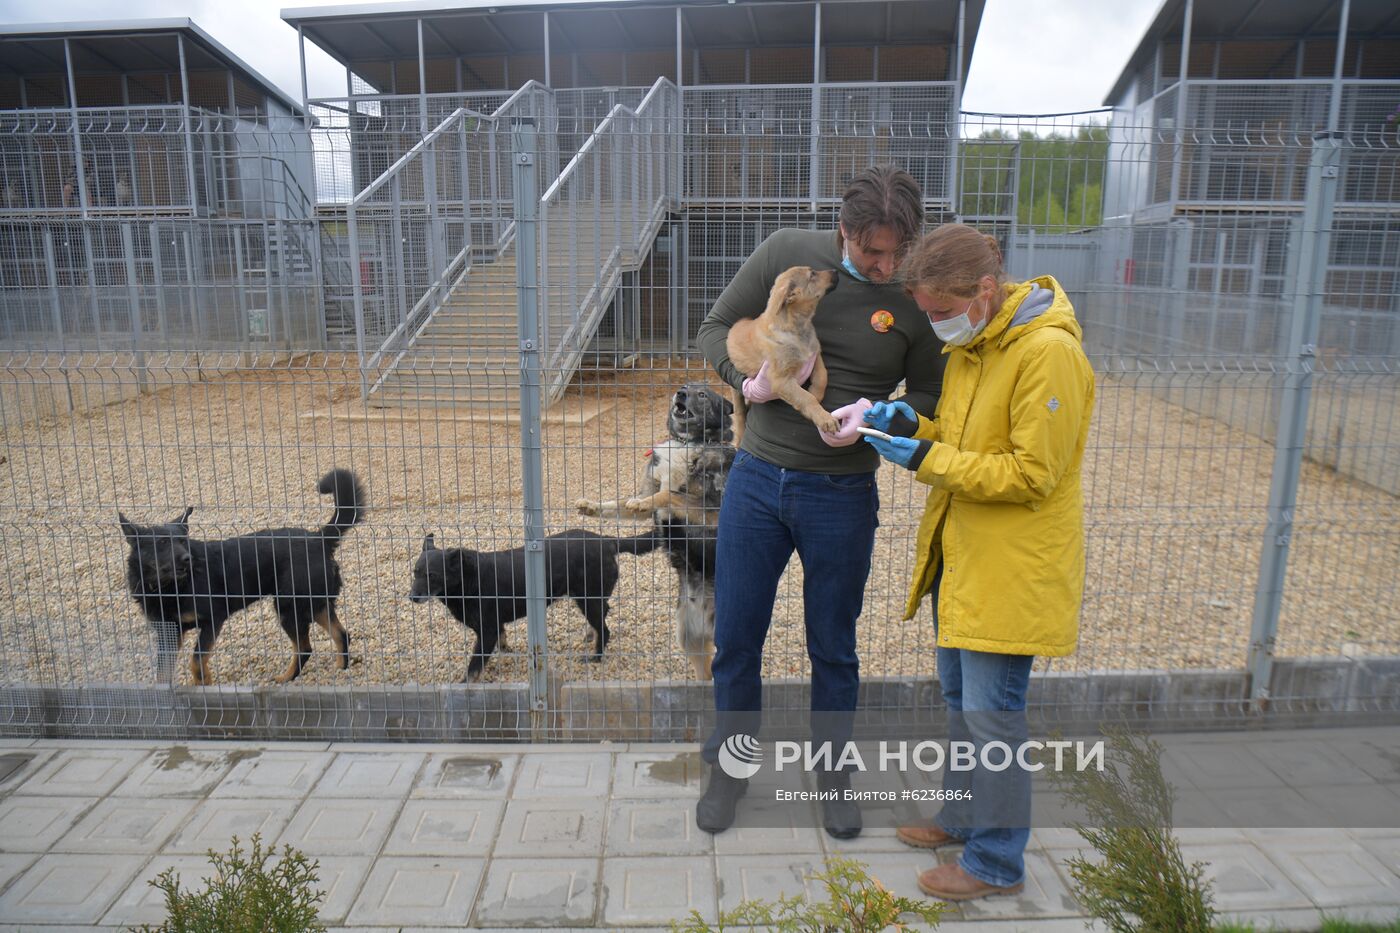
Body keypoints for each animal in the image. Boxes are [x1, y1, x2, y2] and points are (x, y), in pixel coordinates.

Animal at [118, 467, 366, 680]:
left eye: (182, 541)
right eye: (161, 543)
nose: (187, 558)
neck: (169, 587)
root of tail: (318, 539)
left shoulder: (213, 619)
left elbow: (196, 660)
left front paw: (204, 683)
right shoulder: (168, 633)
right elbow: (163, 674)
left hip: (289, 607)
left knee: (305, 648)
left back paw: (286, 678)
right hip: (314, 604)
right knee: (341, 635)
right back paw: (341, 669)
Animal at [408, 526, 660, 680]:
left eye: (432, 575)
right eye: (416, 572)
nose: (412, 597)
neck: (468, 578)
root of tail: (606, 541)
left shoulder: (486, 631)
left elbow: (473, 668)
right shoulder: (494, 626)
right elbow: (502, 640)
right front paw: (506, 650)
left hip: (587, 599)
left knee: (605, 629)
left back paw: (596, 656)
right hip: (589, 598)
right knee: (605, 613)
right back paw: (590, 634)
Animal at [728, 264, 834, 442]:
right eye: (812, 274)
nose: (836, 271)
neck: (796, 328)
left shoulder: (814, 355)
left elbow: (822, 376)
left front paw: (816, 393)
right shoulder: (782, 380)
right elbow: (805, 397)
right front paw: (824, 418)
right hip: (736, 393)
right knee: (740, 414)